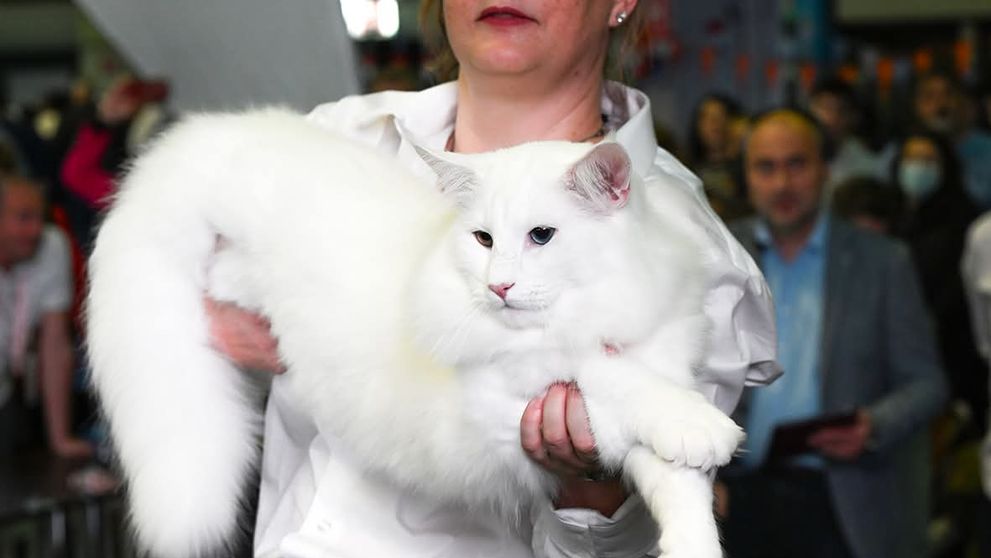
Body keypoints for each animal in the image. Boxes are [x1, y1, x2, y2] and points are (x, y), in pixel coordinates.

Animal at [86, 108, 744, 558]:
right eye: (483, 240)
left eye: (541, 236)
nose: (499, 287)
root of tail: (228, 137)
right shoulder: (508, 388)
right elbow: (607, 375)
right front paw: (701, 425)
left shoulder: (655, 364)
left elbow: (674, 480)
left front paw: (693, 533)